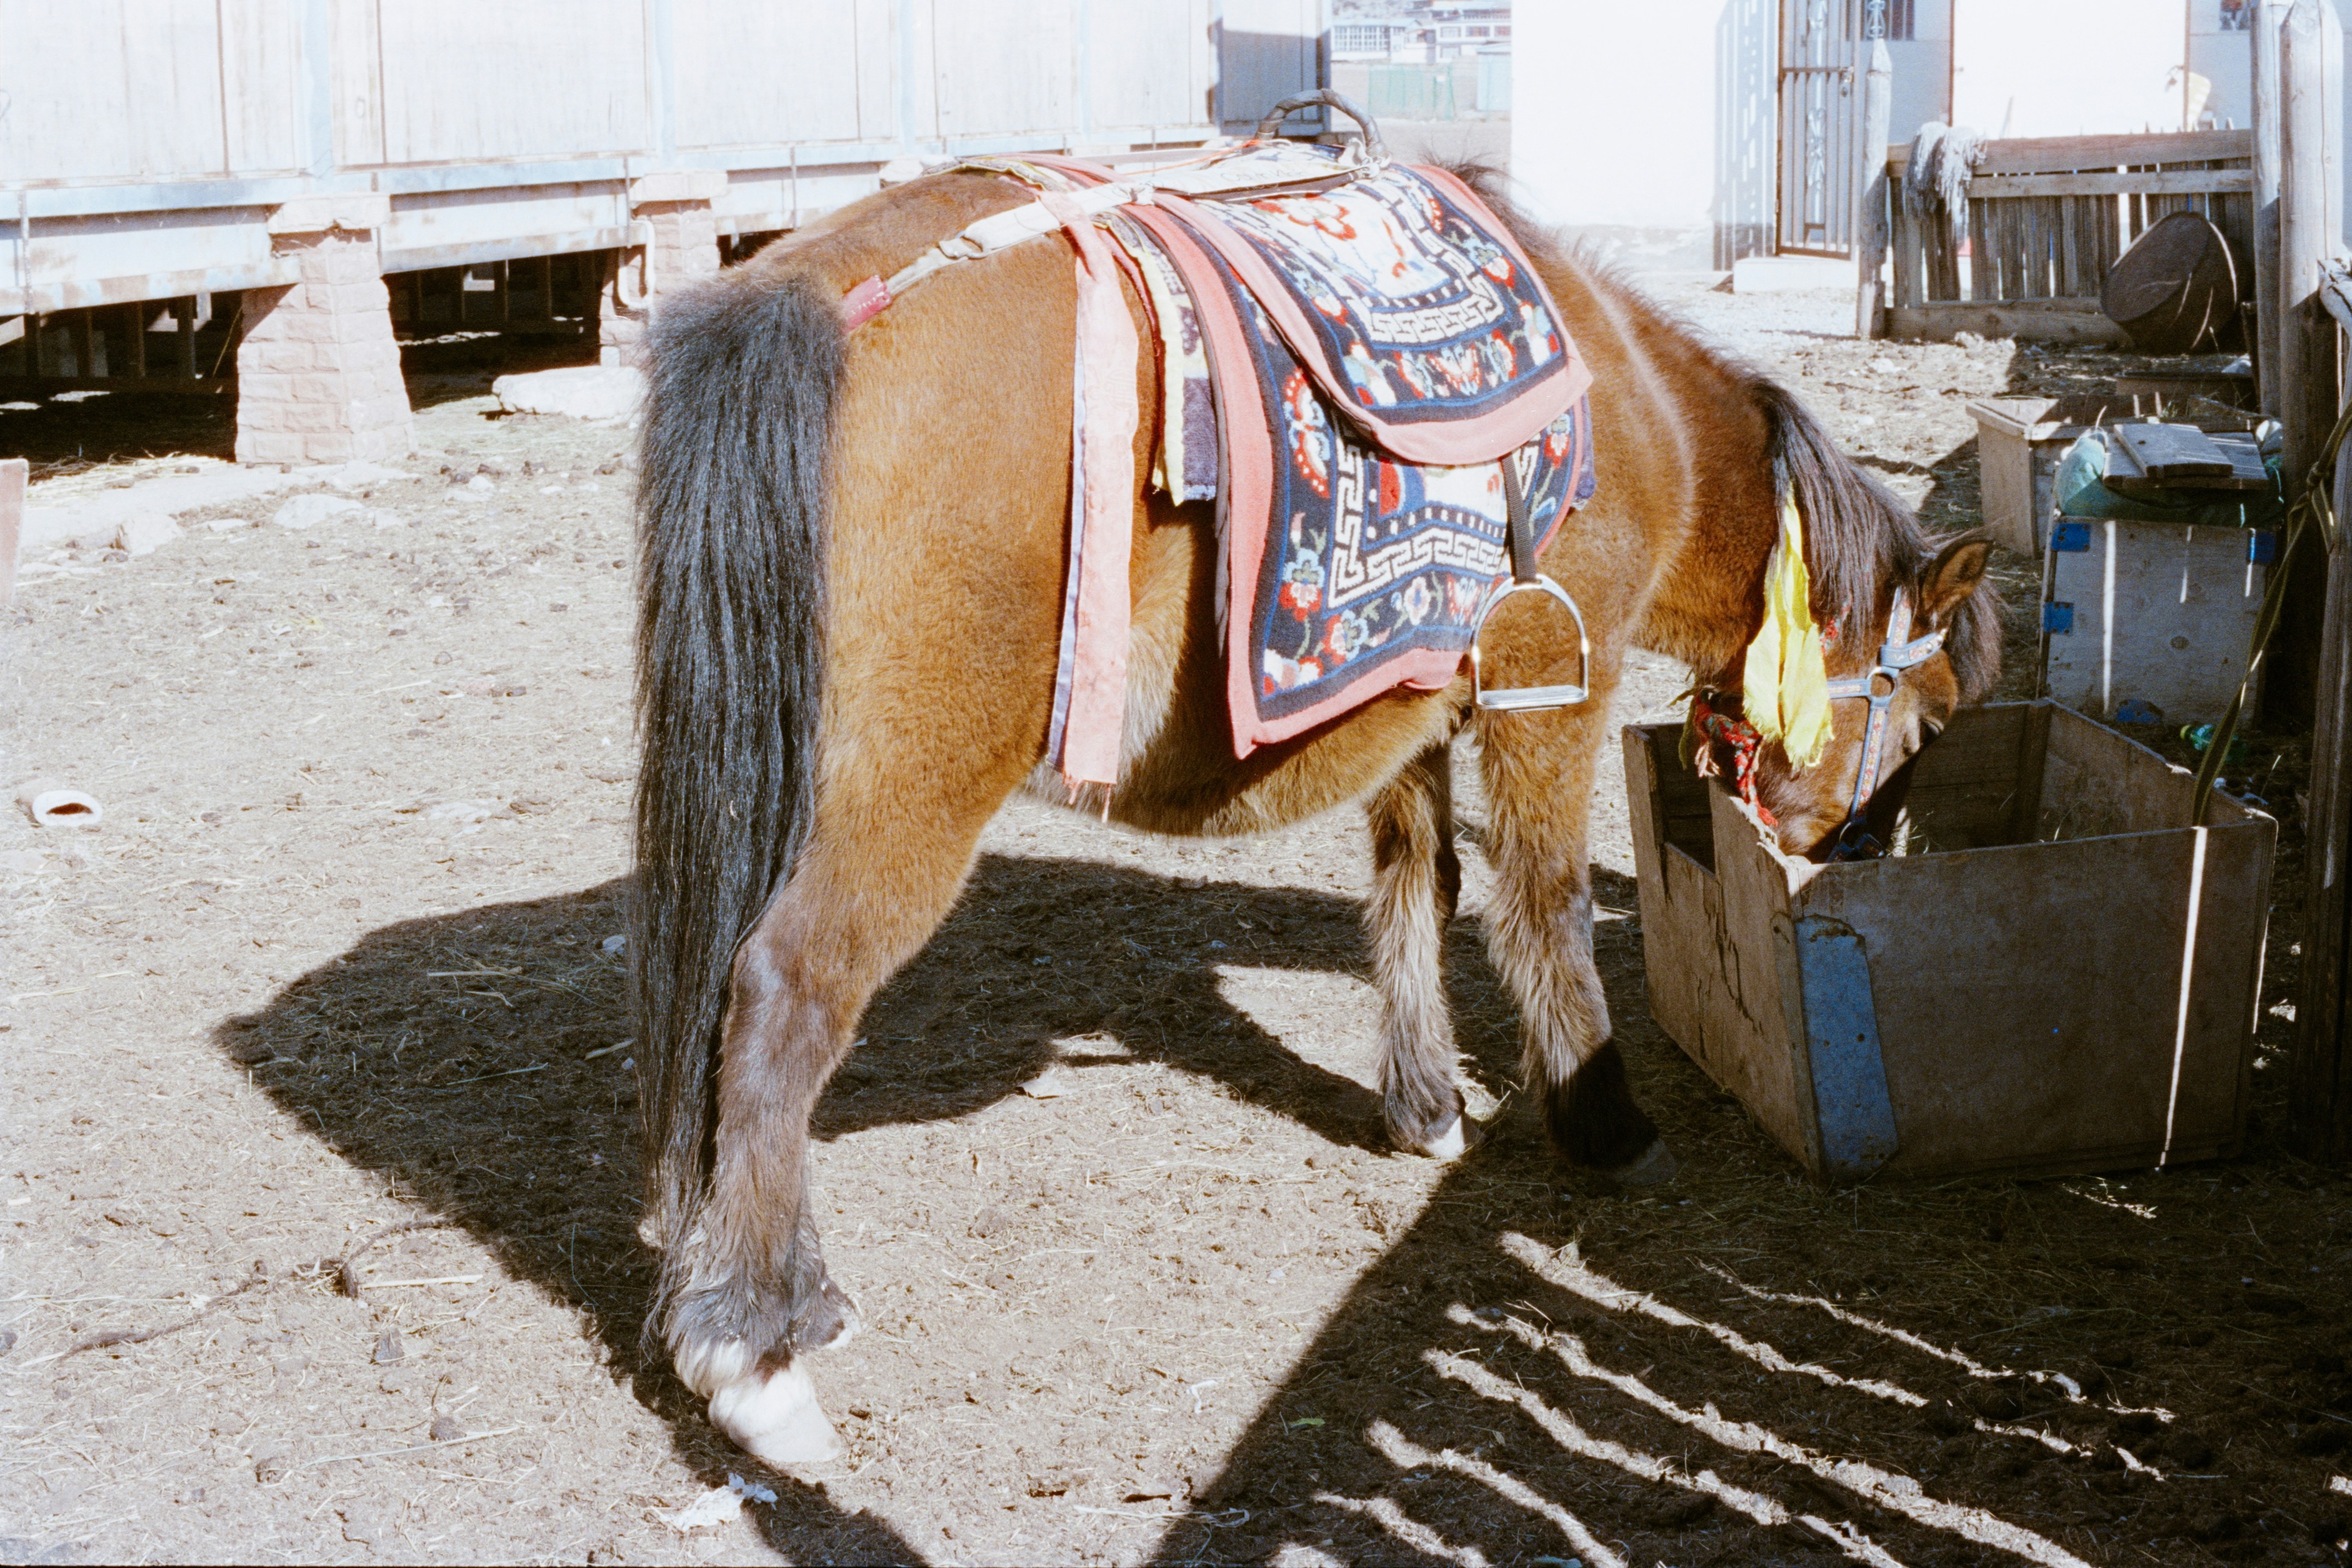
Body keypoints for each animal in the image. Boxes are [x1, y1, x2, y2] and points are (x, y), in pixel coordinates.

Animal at [626, 163, 2003, 1464]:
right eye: (1927, 718)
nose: (1857, 858)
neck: (1637, 413)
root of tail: (810, 294)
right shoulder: (1554, 680)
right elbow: (1545, 907)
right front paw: (1603, 1125)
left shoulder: (1410, 705)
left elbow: (1417, 888)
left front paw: (1424, 1104)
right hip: (911, 789)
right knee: (785, 993)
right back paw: (754, 1353)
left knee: (720, 1006)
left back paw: (779, 1293)